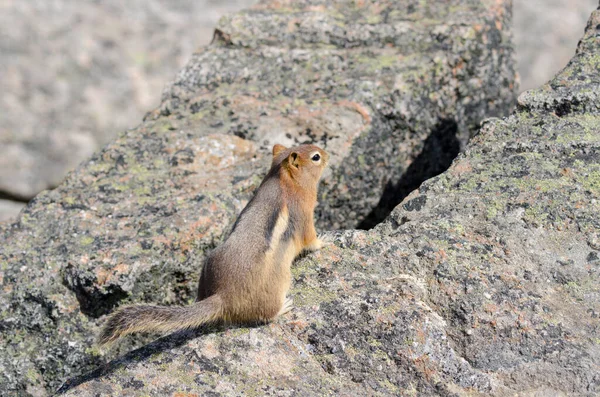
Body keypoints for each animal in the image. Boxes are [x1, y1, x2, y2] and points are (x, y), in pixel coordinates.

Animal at [98, 143, 328, 344]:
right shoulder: (304, 216)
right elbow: (310, 240)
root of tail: (222, 295)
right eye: (316, 157)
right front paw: (324, 241)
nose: (327, 154)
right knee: (266, 314)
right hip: (280, 282)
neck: (285, 180)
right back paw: (284, 307)